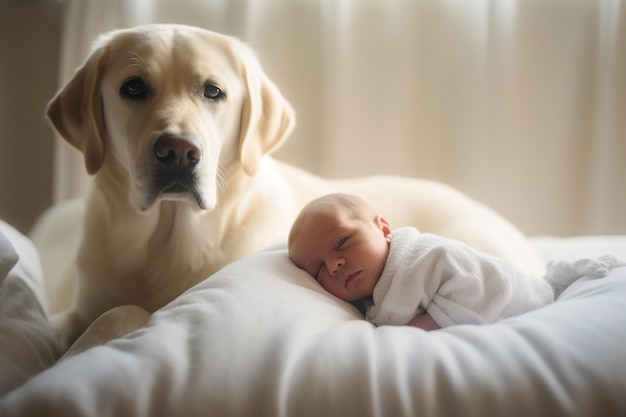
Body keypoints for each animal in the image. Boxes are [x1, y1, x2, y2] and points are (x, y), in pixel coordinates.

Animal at [46, 23, 540, 354]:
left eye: (213, 91)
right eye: (133, 87)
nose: (178, 151)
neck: (163, 244)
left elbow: (126, 312)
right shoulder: (78, 307)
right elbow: (66, 322)